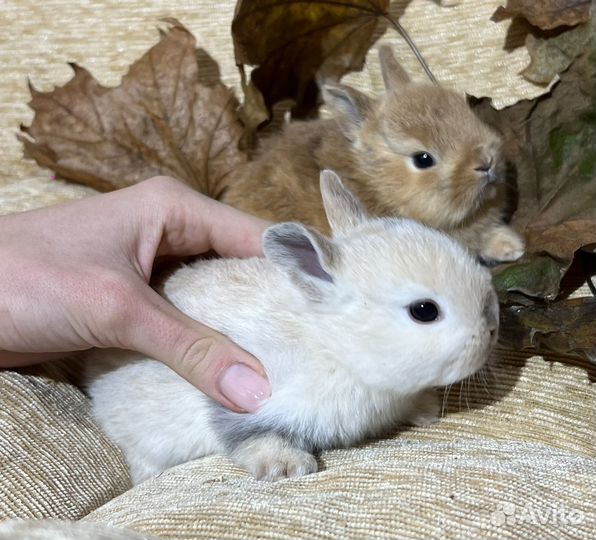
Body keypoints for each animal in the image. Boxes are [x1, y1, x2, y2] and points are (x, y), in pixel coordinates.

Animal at [86, 171, 500, 484]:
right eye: (424, 311)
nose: (493, 324)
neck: (335, 346)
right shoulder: (245, 399)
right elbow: (250, 437)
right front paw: (287, 467)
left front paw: (426, 408)